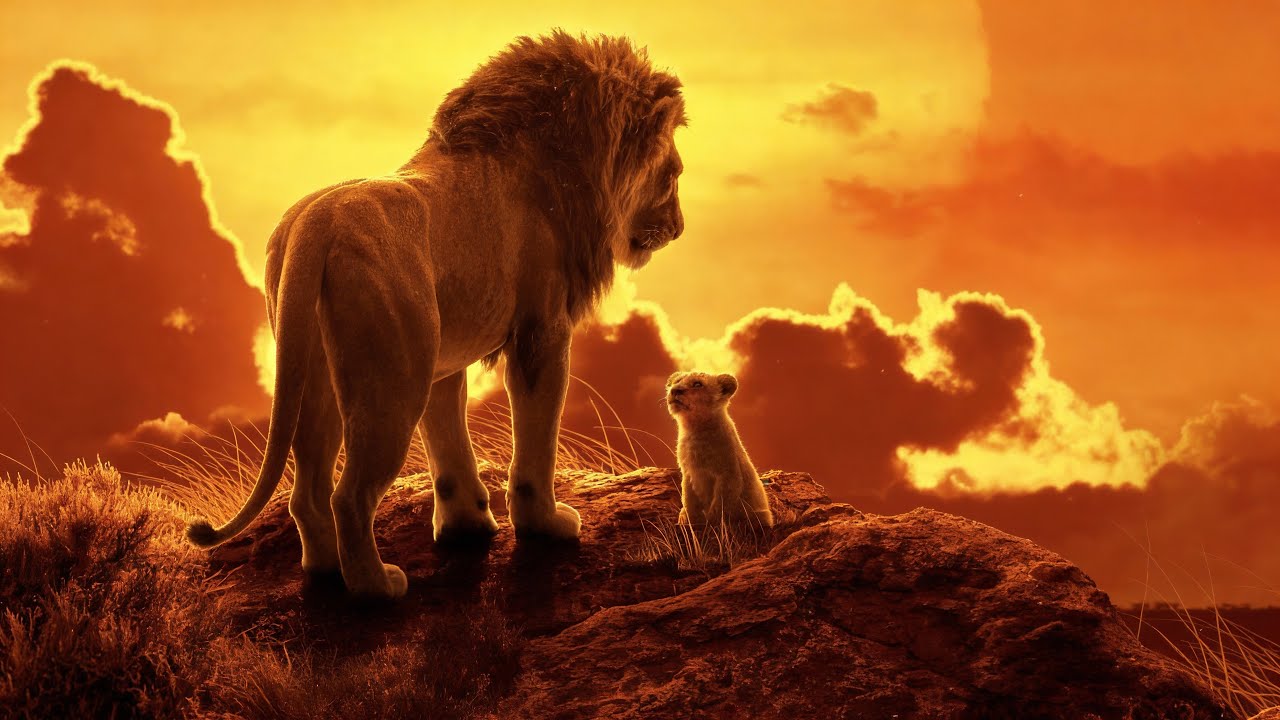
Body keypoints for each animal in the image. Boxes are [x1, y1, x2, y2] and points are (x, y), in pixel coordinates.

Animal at [185, 31, 686, 599]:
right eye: (673, 175)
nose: (679, 227)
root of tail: (315, 225)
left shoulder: (442, 356)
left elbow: (447, 439)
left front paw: (466, 526)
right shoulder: (542, 331)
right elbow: (535, 437)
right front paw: (546, 525)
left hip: (317, 372)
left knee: (308, 490)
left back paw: (326, 571)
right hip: (392, 381)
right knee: (349, 496)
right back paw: (377, 587)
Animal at [666, 372, 773, 529]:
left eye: (697, 384)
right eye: (677, 381)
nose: (675, 390)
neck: (694, 429)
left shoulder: (729, 474)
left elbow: (719, 506)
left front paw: (711, 525)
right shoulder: (688, 473)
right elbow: (689, 500)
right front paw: (689, 521)